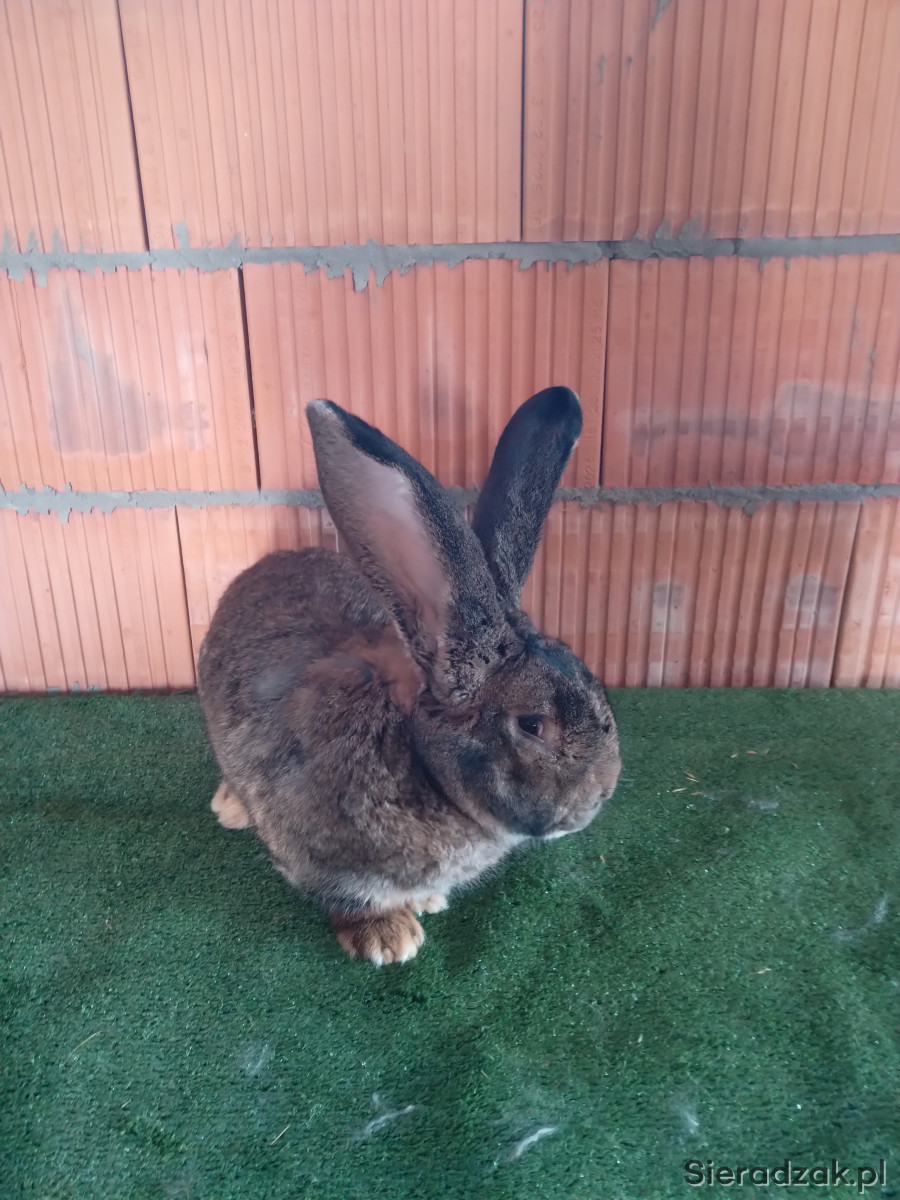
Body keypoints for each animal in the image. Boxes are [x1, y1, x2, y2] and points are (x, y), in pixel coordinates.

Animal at [197, 386, 621, 965]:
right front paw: (388, 939)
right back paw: (229, 808)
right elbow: (349, 899)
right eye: (532, 725)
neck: (416, 754)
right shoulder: (320, 858)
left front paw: (427, 901)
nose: (601, 797)